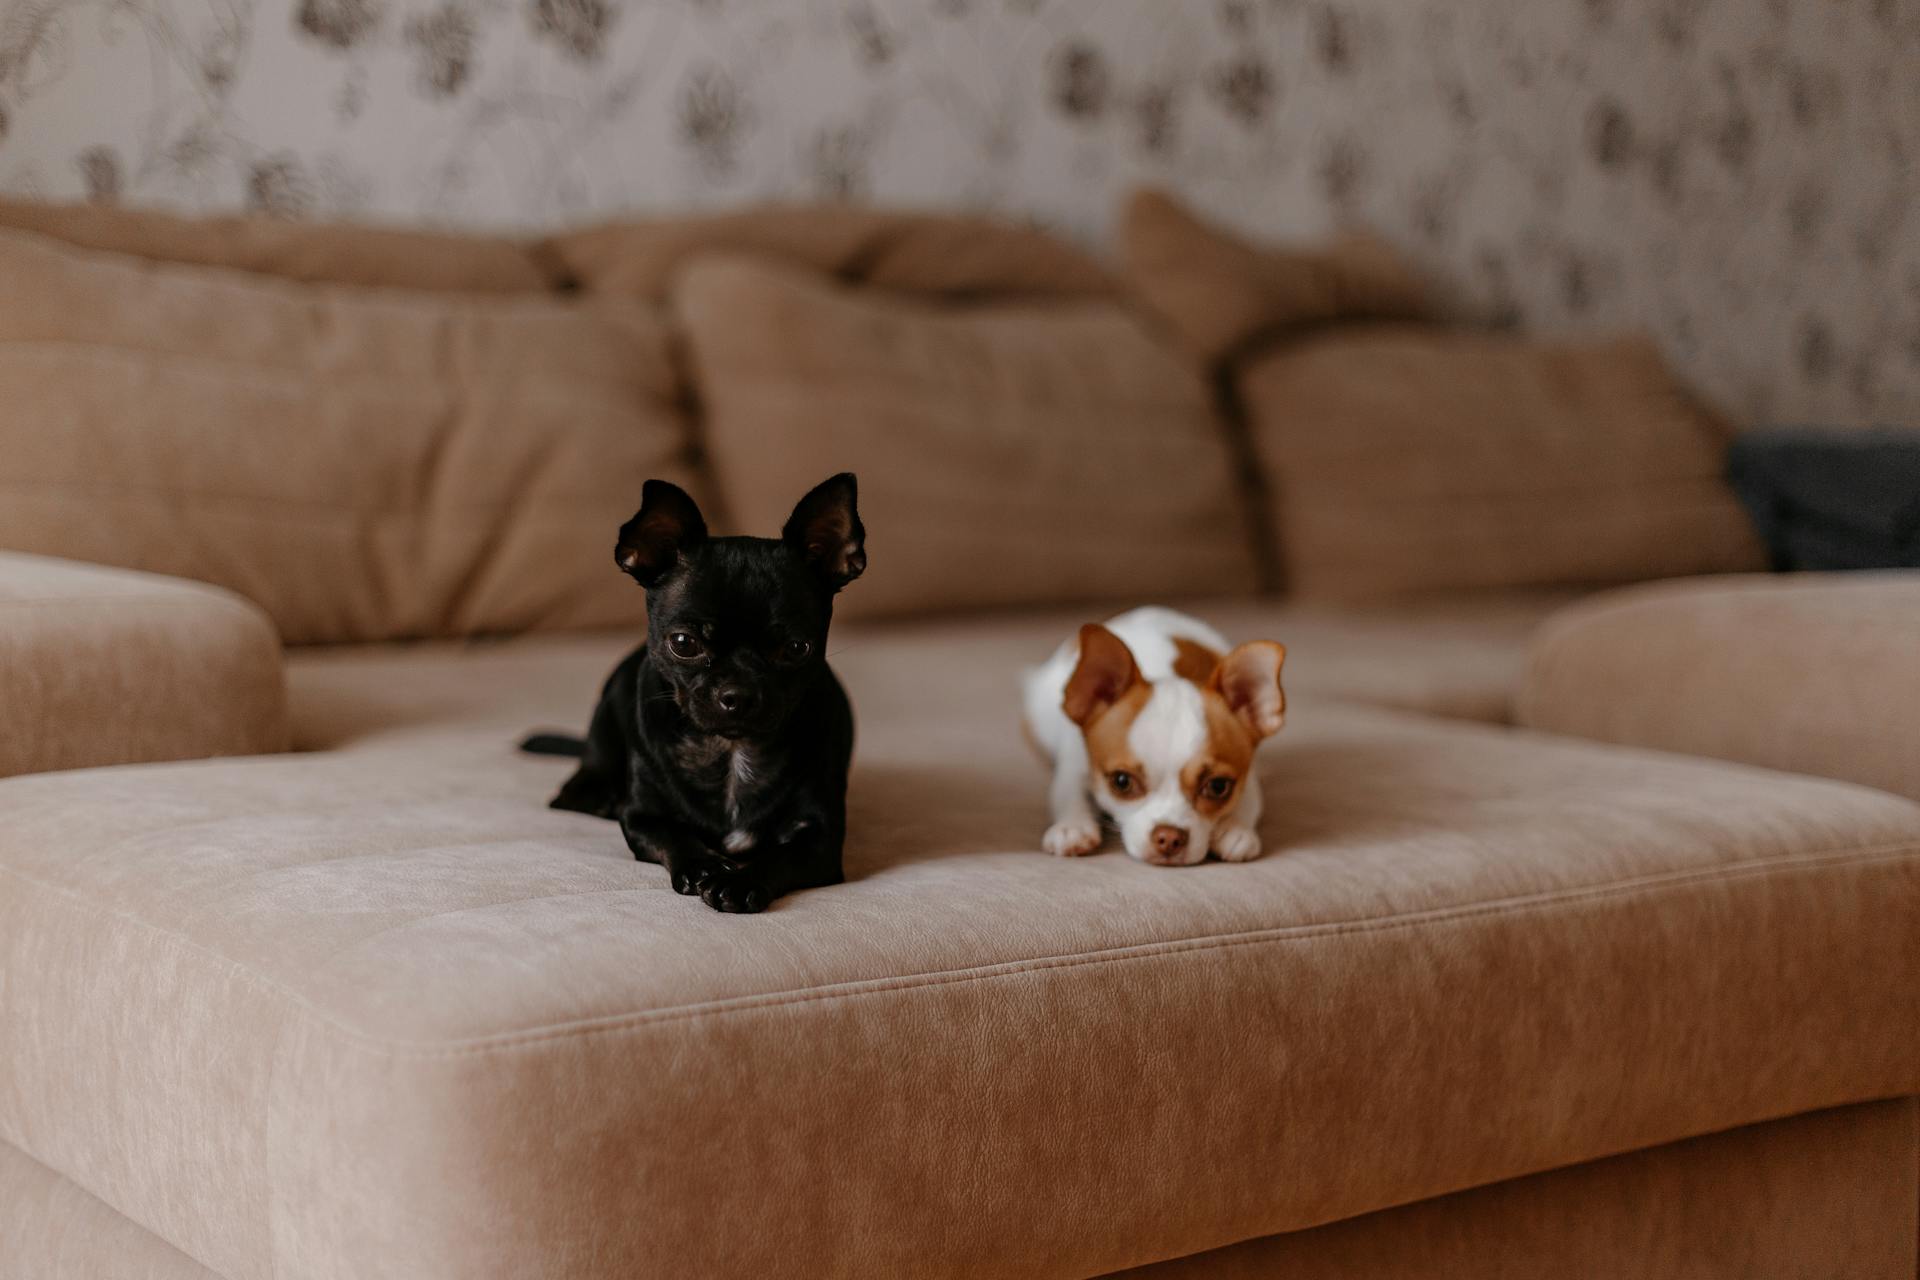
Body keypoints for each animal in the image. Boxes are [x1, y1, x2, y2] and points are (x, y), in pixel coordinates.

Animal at [549, 474, 864, 909]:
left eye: (798, 648)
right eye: (683, 643)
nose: (738, 694)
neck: (730, 753)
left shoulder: (821, 838)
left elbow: (780, 856)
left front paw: (740, 881)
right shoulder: (643, 819)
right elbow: (675, 836)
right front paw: (704, 866)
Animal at [1029, 606, 1282, 867]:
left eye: (1218, 786)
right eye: (1122, 781)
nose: (1169, 837)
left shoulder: (1246, 777)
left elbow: (1249, 799)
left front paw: (1235, 829)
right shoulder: (1074, 763)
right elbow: (1068, 792)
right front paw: (1072, 827)